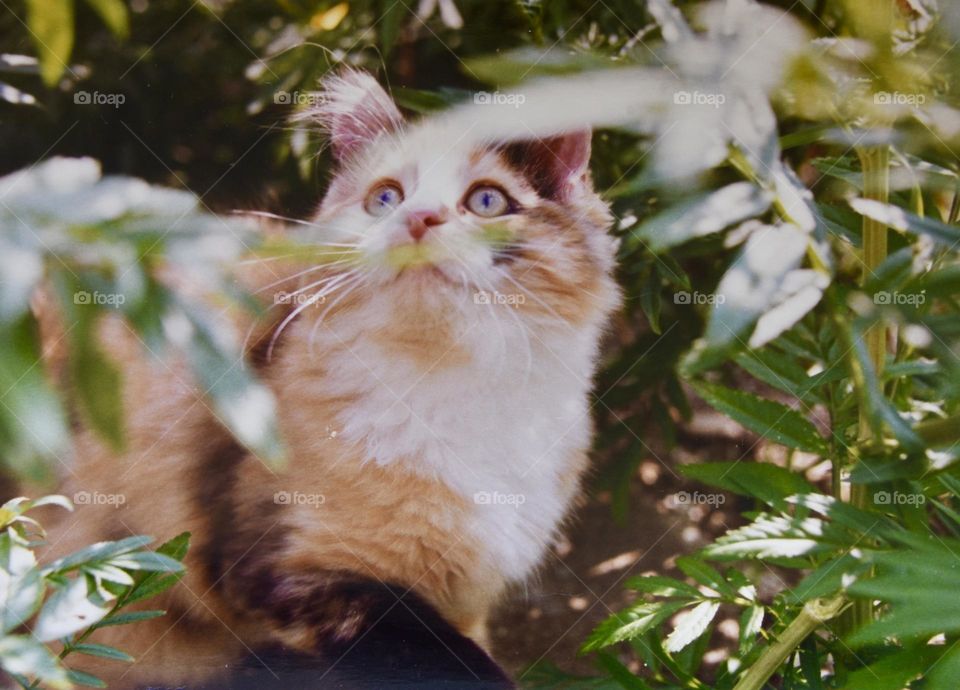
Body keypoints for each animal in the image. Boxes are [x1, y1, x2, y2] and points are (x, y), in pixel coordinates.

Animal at [31, 68, 624, 684]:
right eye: (385, 198)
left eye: (487, 200)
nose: (417, 219)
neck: (450, 393)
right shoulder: (296, 566)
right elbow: (447, 655)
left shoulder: (466, 588)